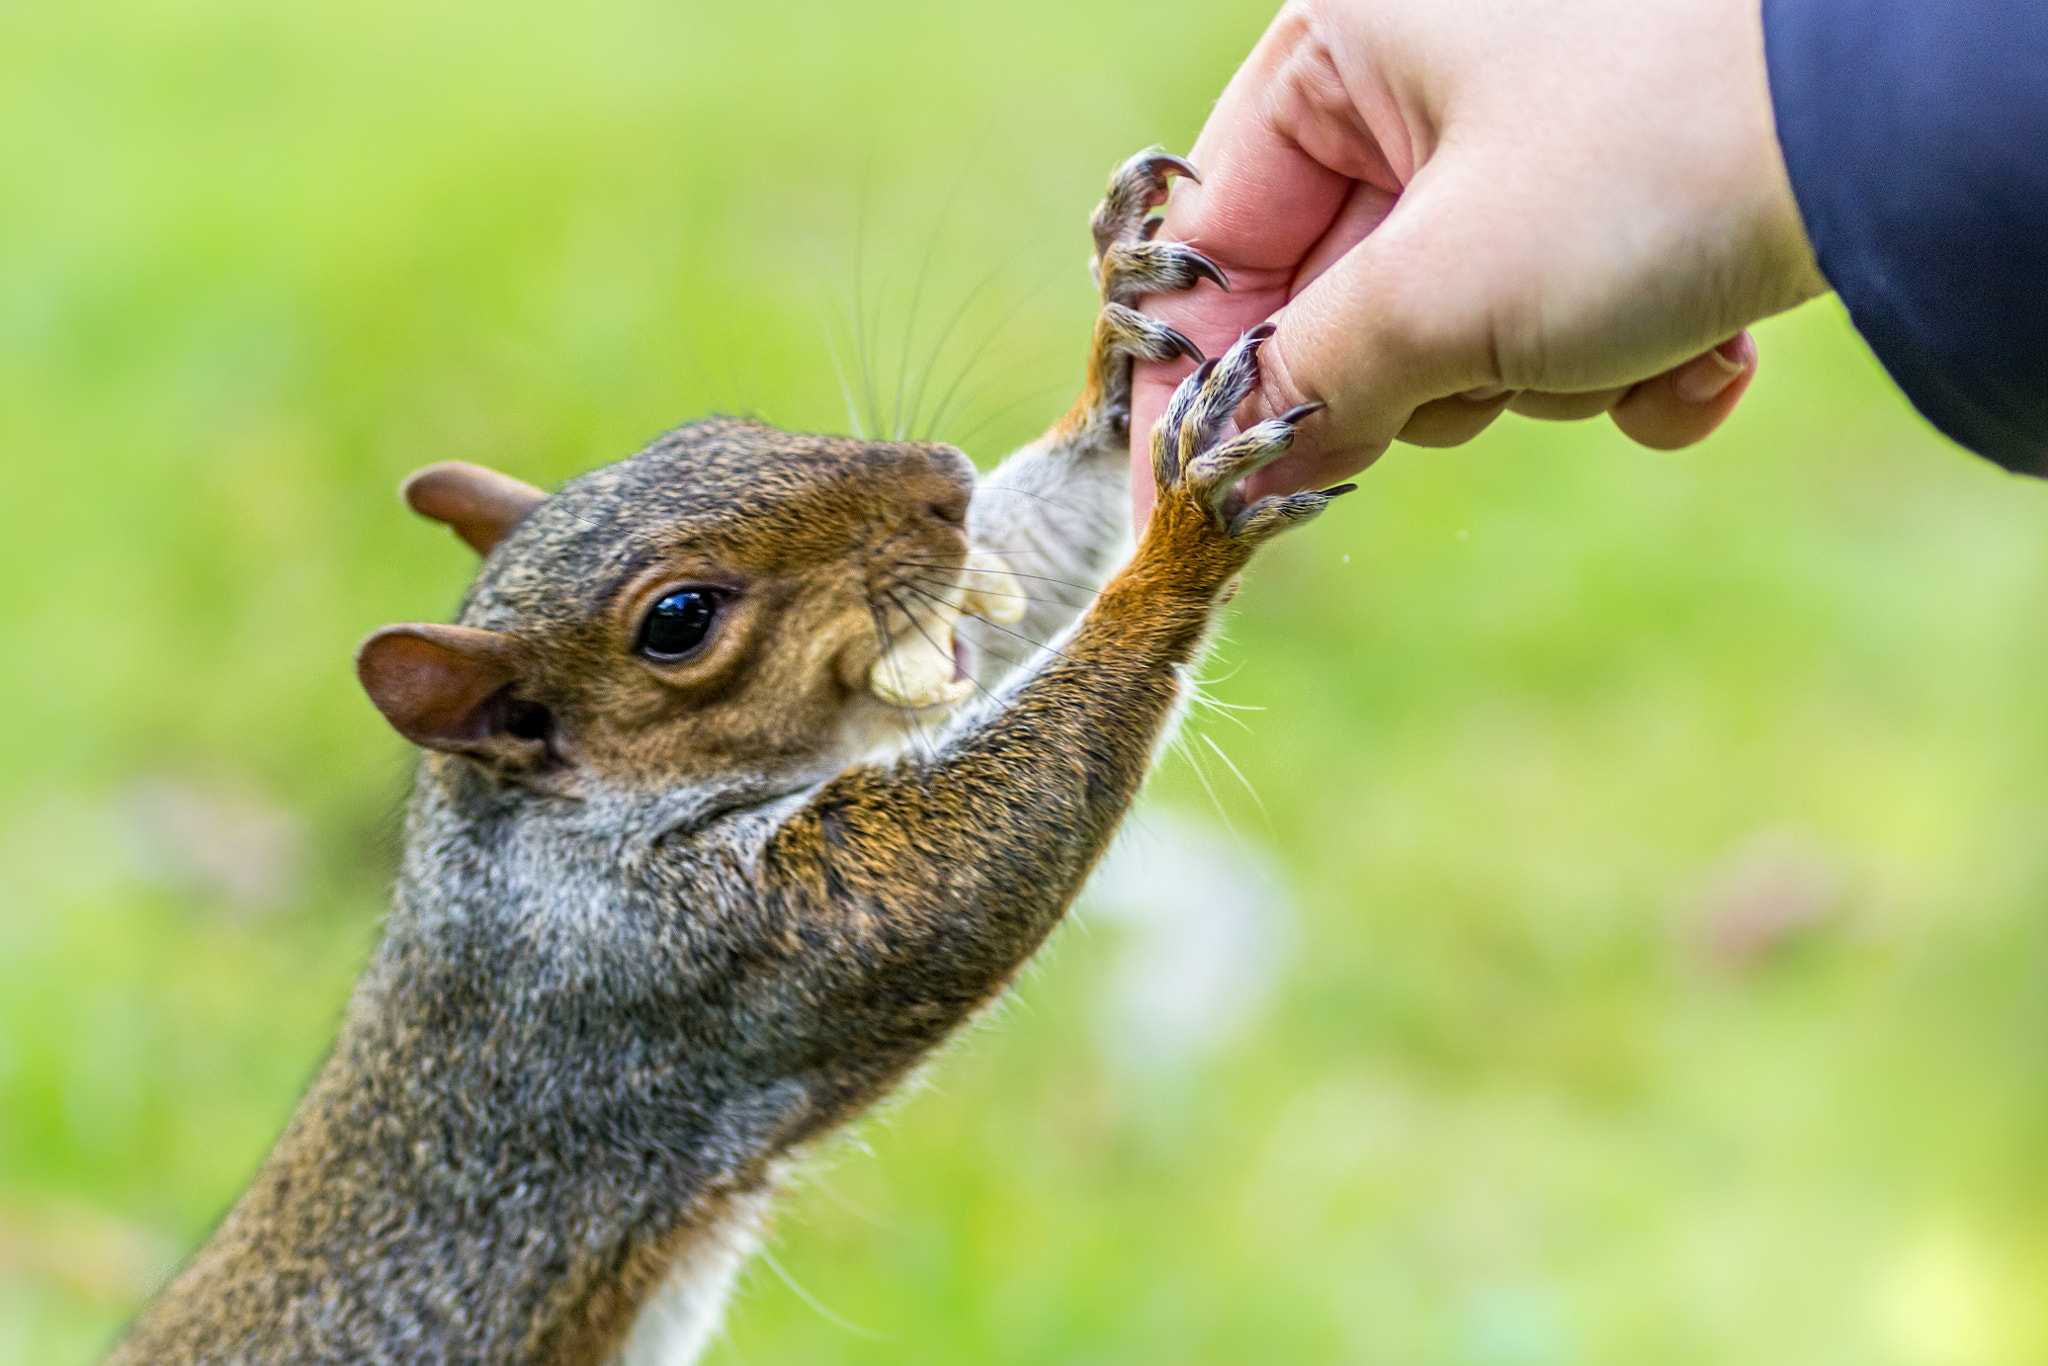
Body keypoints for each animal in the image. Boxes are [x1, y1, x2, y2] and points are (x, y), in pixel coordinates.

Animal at [112, 149, 1351, 1366]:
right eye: (678, 620)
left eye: (717, 429)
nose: (942, 482)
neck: (536, 821)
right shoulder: (665, 954)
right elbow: (941, 882)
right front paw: (1181, 533)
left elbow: (1023, 557)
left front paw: (1118, 319)